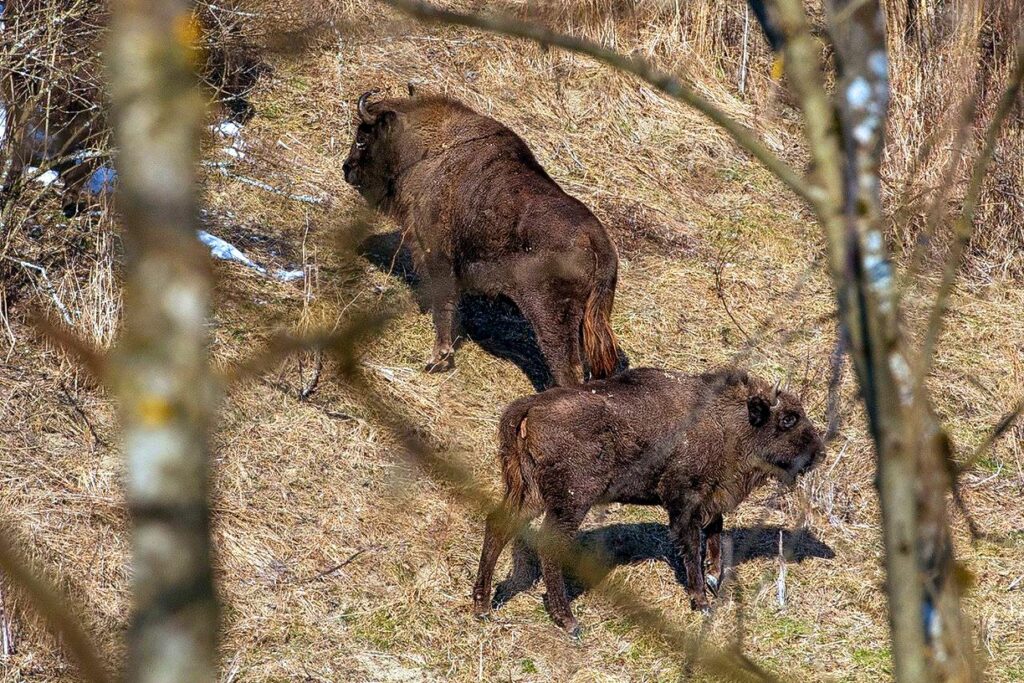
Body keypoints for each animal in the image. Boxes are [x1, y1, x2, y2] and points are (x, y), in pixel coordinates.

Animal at [344, 89, 618, 387]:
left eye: (362, 139)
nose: (346, 169)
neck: (429, 151)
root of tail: (597, 243)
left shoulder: (437, 255)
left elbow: (443, 306)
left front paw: (437, 359)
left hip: (550, 316)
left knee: (566, 369)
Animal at [471, 368, 823, 634]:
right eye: (788, 419)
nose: (818, 453)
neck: (726, 420)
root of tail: (529, 407)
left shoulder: (708, 498)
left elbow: (715, 531)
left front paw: (713, 578)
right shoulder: (683, 501)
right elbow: (692, 547)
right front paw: (702, 602)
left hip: (529, 494)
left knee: (498, 528)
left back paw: (483, 608)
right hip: (571, 501)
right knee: (549, 544)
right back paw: (569, 622)